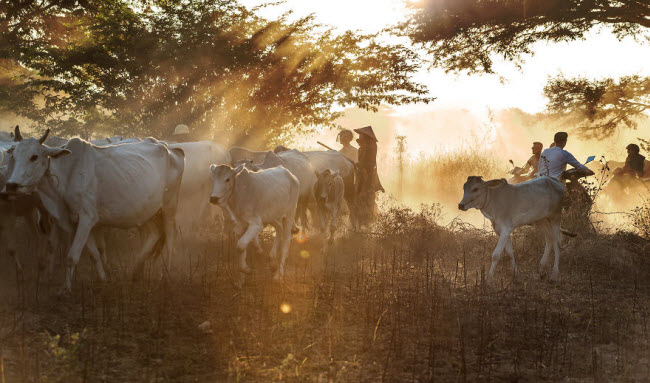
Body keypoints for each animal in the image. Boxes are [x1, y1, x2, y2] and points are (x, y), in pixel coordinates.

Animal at [3, 127, 184, 292]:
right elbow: (94, 254)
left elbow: (72, 256)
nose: (11, 185)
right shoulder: (77, 221)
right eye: (14, 155)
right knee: (153, 234)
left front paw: (66, 289)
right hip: (145, 212)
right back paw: (136, 270)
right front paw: (104, 279)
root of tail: (170, 149)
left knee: (170, 237)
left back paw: (165, 275)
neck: (67, 174)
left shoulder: (87, 218)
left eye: (34, 156)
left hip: (169, 207)